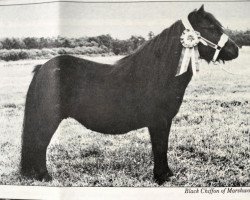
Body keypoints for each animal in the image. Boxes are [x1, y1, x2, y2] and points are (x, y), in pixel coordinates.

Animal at [20, 5, 238, 184]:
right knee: (39, 144)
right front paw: (161, 177)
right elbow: (160, 147)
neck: (157, 73)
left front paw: (166, 174)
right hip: (49, 119)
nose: (235, 49)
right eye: (211, 28)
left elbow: (162, 146)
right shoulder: (159, 121)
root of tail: (43, 68)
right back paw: (44, 177)